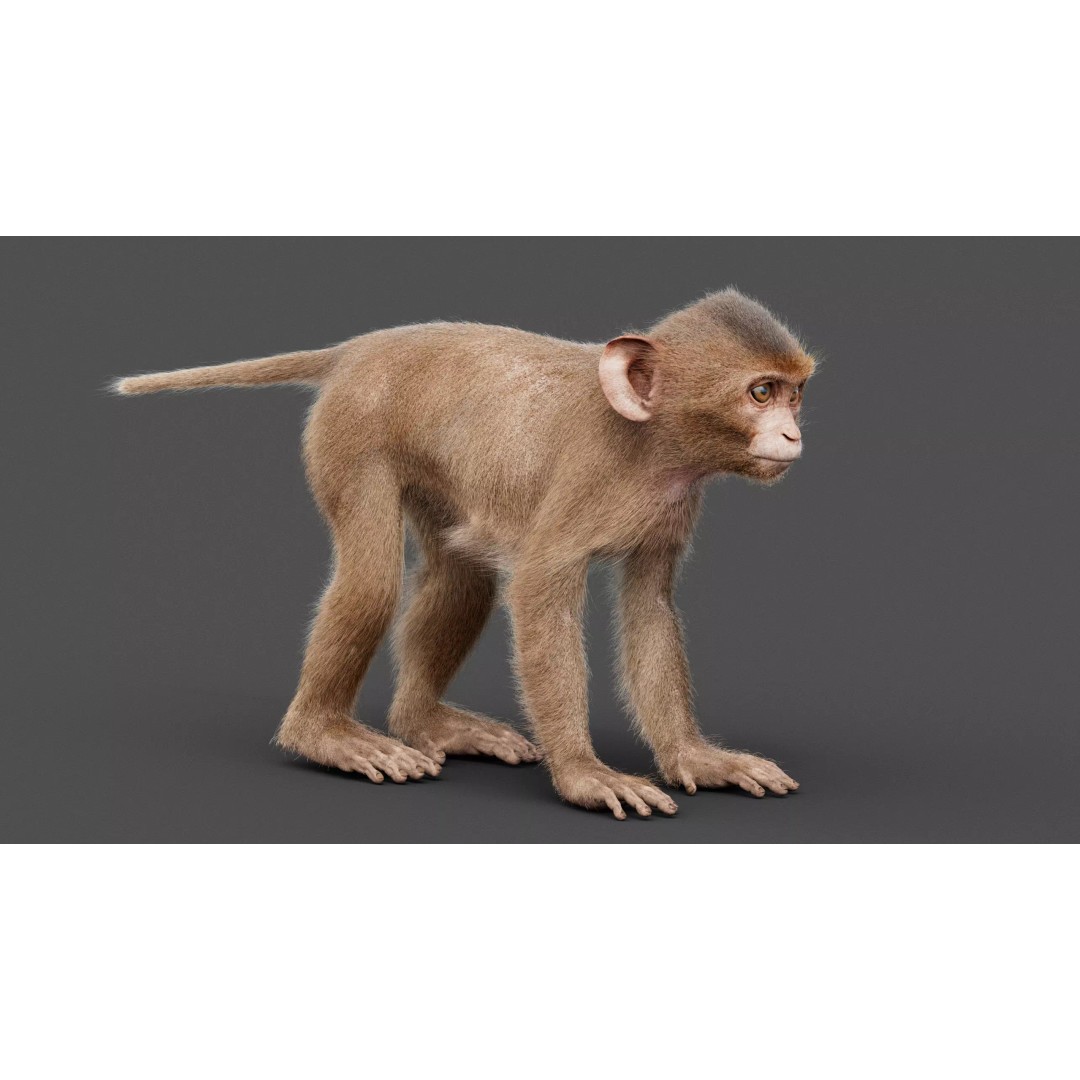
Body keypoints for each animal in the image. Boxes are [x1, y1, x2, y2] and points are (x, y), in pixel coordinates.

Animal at [115, 288, 815, 819]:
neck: (649, 439)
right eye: (760, 393)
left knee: (462, 573)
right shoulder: (589, 478)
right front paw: (583, 774)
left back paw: (425, 723)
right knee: (373, 580)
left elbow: (649, 607)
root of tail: (358, 347)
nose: (793, 435)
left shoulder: (674, 502)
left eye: (795, 394)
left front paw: (695, 757)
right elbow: (537, 590)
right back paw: (323, 735)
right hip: (351, 429)